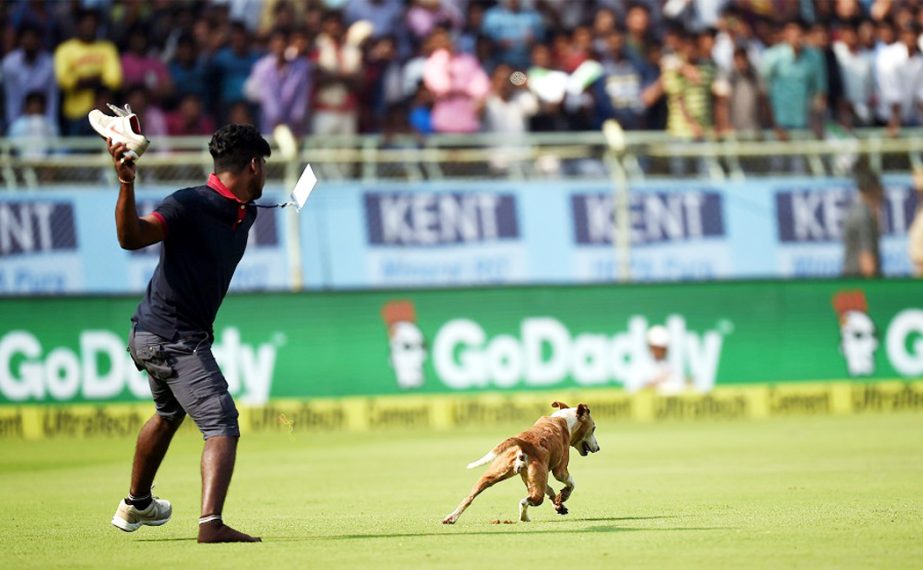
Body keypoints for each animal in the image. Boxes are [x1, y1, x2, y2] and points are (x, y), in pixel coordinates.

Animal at [444, 402, 604, 520]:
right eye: (594, 428)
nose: (598, 448)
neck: (564, 420)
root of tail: (523, 443)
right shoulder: (560, 470)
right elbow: (571, 483)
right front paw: (564, 495)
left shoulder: (536, 478)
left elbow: (550, 490)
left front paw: (559, 504)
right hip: (535, 487)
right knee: (527, 500)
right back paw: (524, 517)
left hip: (491, 475)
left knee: (469, 497)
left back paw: (451, 517)